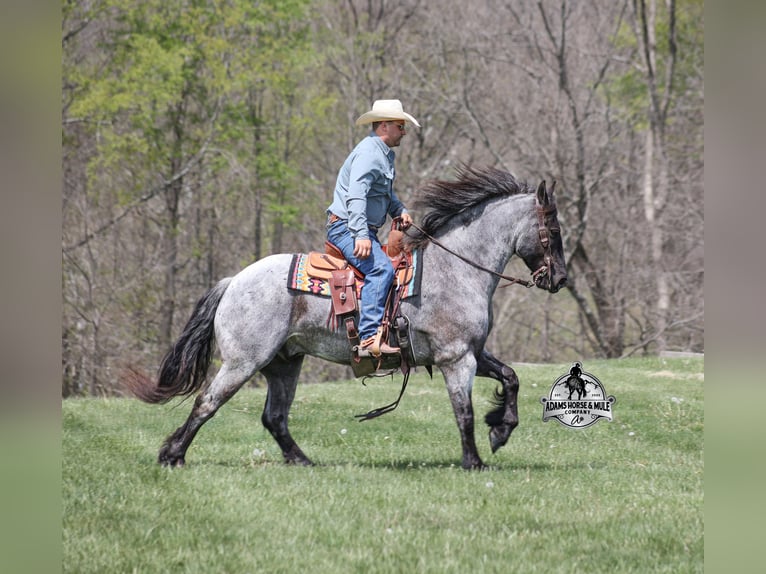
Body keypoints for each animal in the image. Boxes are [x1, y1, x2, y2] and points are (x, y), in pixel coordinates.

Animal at [125, 165, 568, 470]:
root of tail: (233, 281)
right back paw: (172, 454)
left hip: (283, 364)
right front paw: (475, 460)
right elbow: (465, 412)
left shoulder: (473, 352)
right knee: (208, 402)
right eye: (552, 230)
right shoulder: (456, 358)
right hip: (243, 362)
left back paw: (302, 460)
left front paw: (501, 429)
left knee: (274, 417)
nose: (560, 279)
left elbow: (511, 377)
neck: (456, 269)